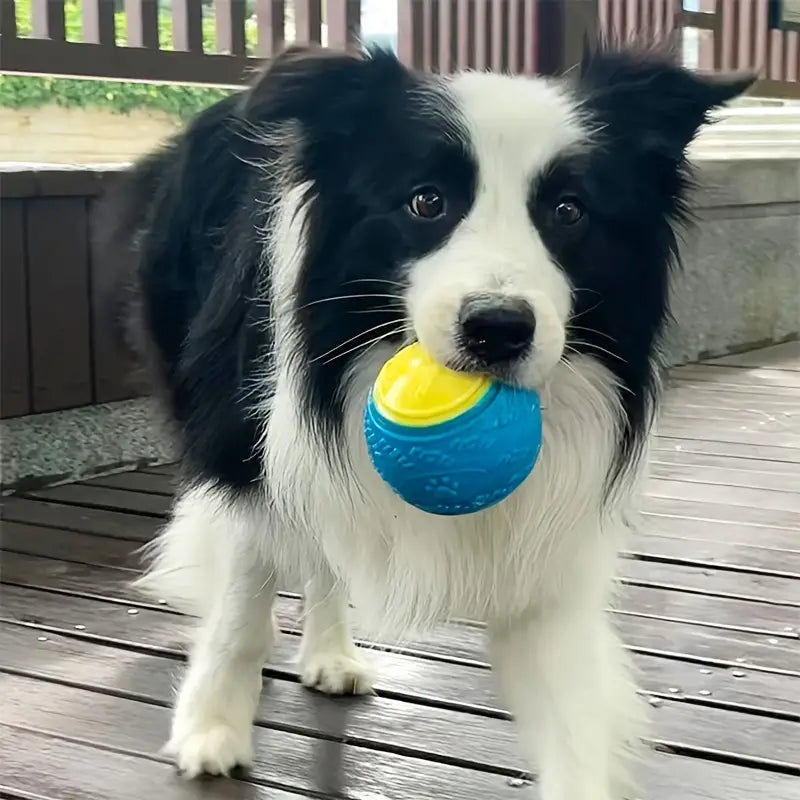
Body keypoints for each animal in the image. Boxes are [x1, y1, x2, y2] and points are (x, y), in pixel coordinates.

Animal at [109, 43, 752, 800]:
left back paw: (330, 655)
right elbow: (241, 610)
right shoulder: (251, 459)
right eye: (426, 201)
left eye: (569, 211)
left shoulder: (552, 545)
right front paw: (211, 731)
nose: (498, 329)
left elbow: (572, 713)